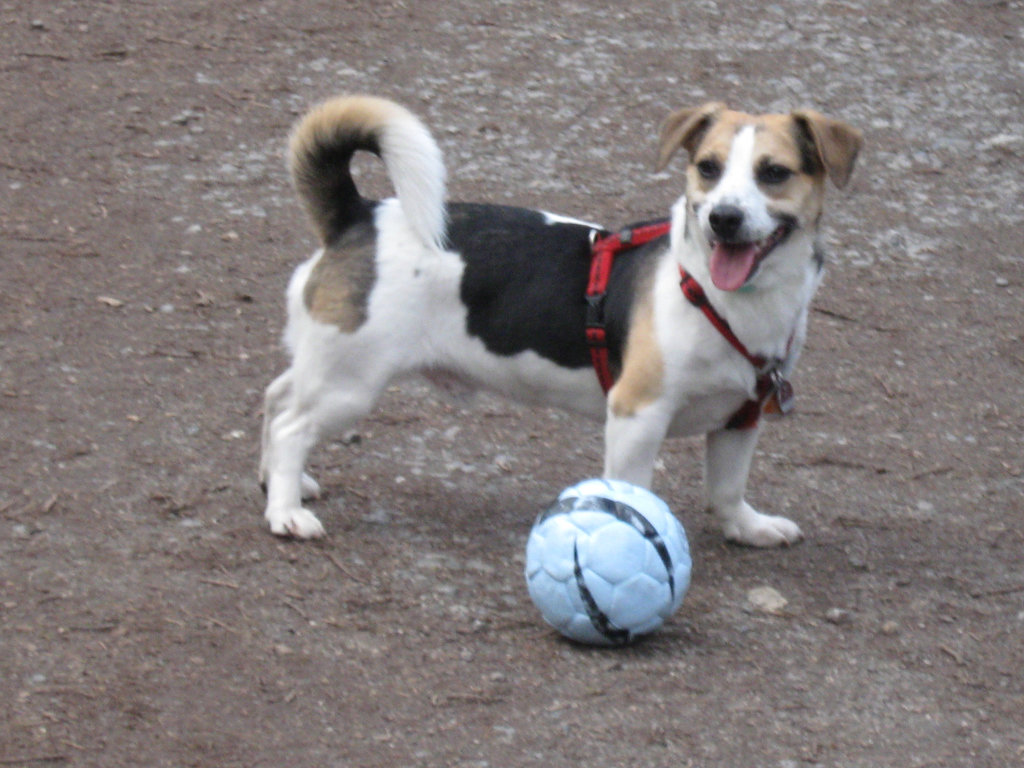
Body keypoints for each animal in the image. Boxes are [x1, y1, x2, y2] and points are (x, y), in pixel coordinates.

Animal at [256, 94, 856, 548]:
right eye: (707, 168)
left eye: (774, 173)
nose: (723, 218)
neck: (723, 297)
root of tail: (359, 215)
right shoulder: (638, 415)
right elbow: (634, 491)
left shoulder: (741, 419)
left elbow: (727, 490)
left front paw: (747, 528)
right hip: (350, 384)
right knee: (291, 427)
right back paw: (285, 512)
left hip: (328, 367)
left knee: (278, 398)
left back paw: (280, 480)